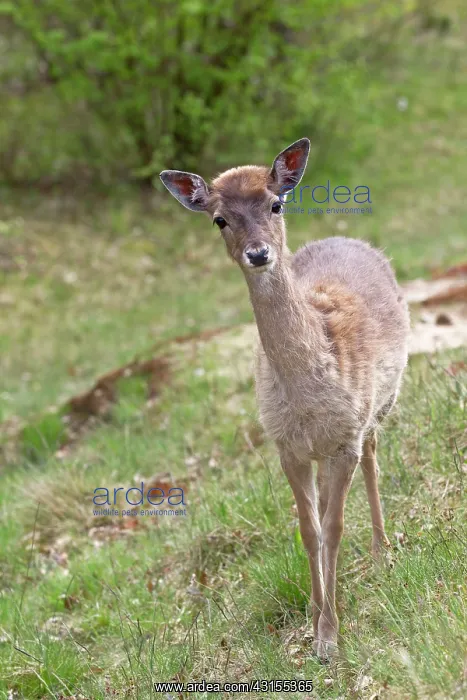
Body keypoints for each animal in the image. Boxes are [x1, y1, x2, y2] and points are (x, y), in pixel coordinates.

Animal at [160, 138, 410, 661]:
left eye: (276, 204)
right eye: (219, 219)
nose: (258, 253)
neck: (307, 398)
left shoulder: (345, 436)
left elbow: (334, 528)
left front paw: (330, 637)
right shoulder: (286, 446)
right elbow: (309, 530)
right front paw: (314, 621)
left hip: (379, 406)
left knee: (374, 455)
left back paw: (382, 553)